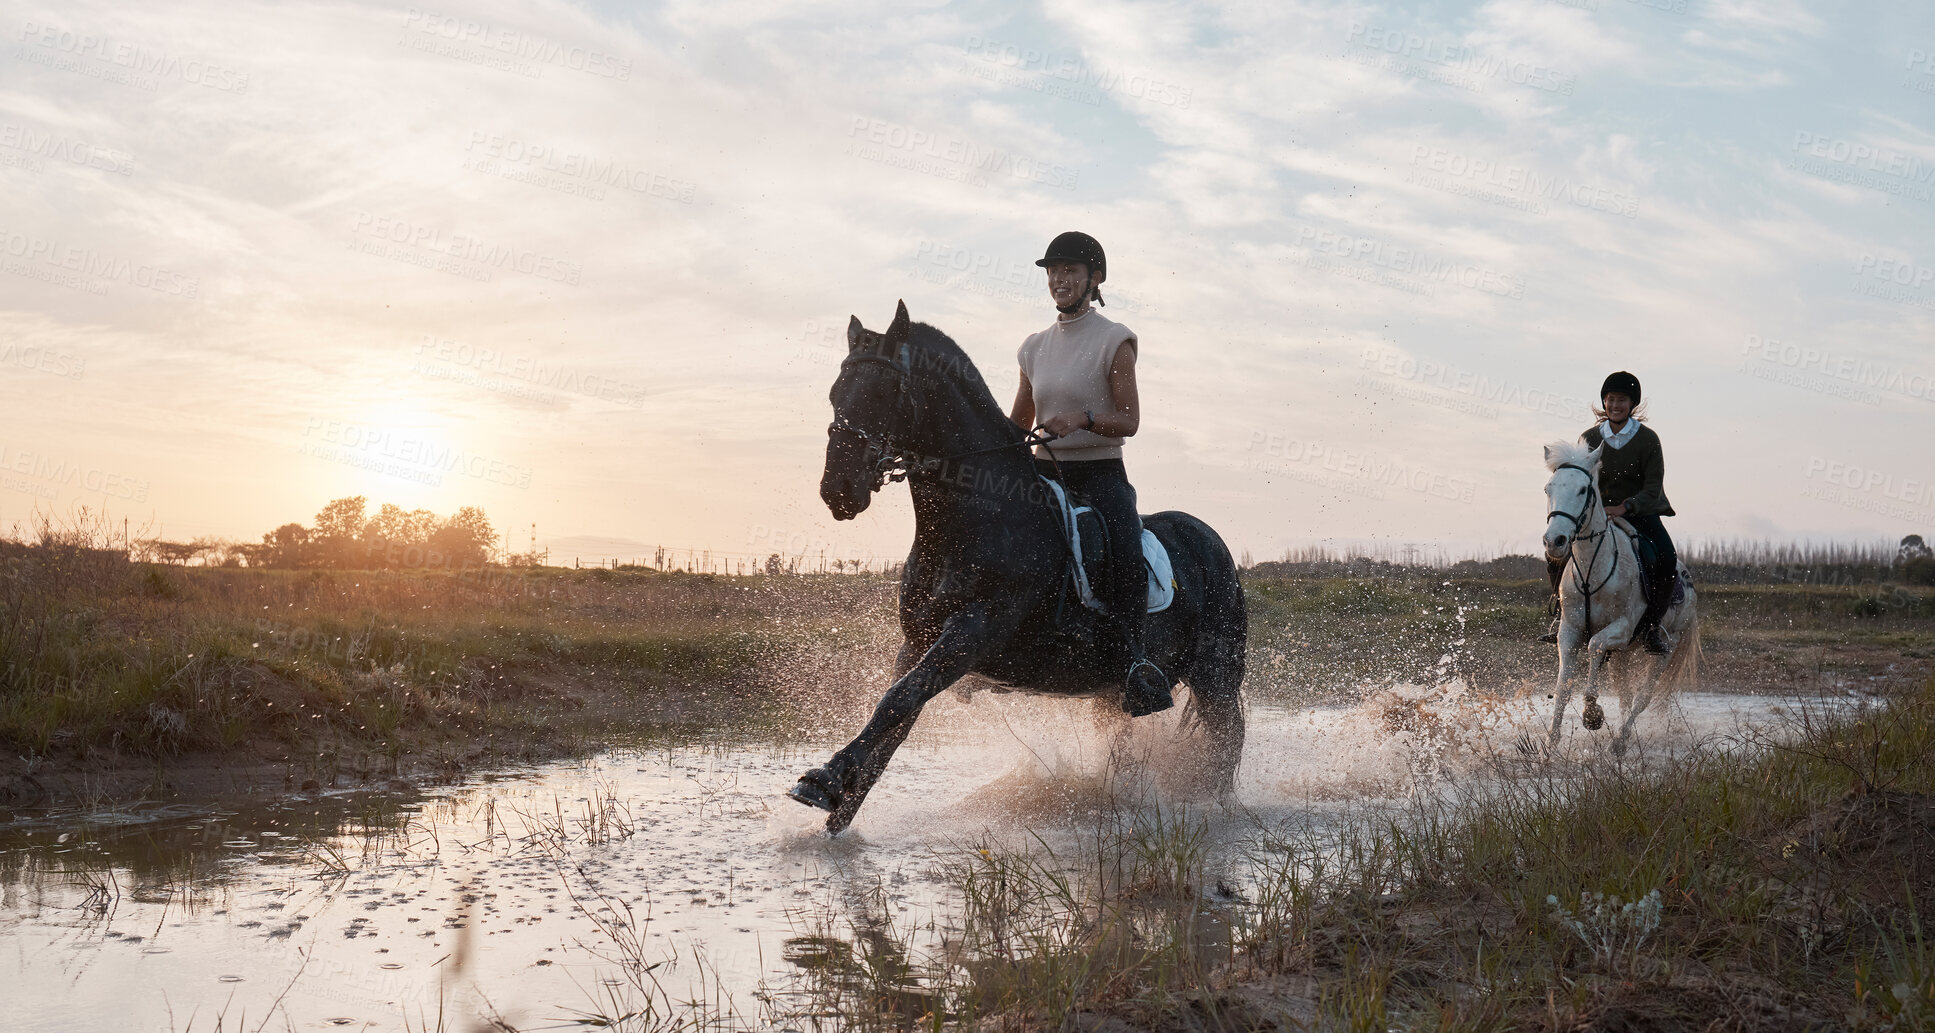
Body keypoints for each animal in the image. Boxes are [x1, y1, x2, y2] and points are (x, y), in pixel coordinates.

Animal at [789, 303, 1253, 839]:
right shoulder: (919, 639)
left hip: (1217, 675)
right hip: (1114, 692)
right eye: (835, 394)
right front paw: (836, 815)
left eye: (886, 393)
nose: (837, 490)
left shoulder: (976, 629)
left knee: (1226, 743)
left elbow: (899, 699)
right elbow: (894, 717)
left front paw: (823, 780)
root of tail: (1211, 542)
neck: (977, 516)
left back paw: (1215, 811)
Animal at [1540, 441, 1695, 758]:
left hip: (1664, 648)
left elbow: (1594, 645)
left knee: (1642, 698)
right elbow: (1562, 688)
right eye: (1549, 488)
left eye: (1583, 490)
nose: (1554, 541)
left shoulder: (1621, 628)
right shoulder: (1569, 631)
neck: (1591, 570)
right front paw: (1550, 744)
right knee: (1625, 696)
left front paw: (1592, 714)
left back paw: (1620, 741)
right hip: (1623, 654)